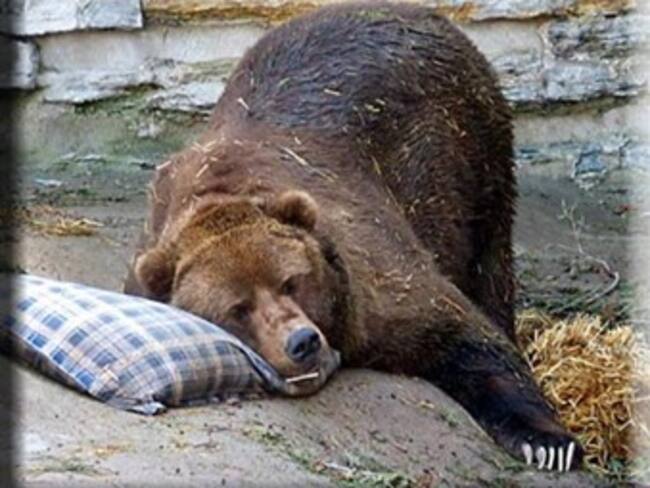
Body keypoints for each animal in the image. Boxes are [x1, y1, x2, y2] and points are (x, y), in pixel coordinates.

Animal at [124, 2, 583, 471]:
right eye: (238, 308)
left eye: (292, 281)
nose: (302, 342)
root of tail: (417, 13)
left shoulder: (372, 278)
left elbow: (465, 331)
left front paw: (547, 441)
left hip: (471, 143)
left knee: (489, 259)